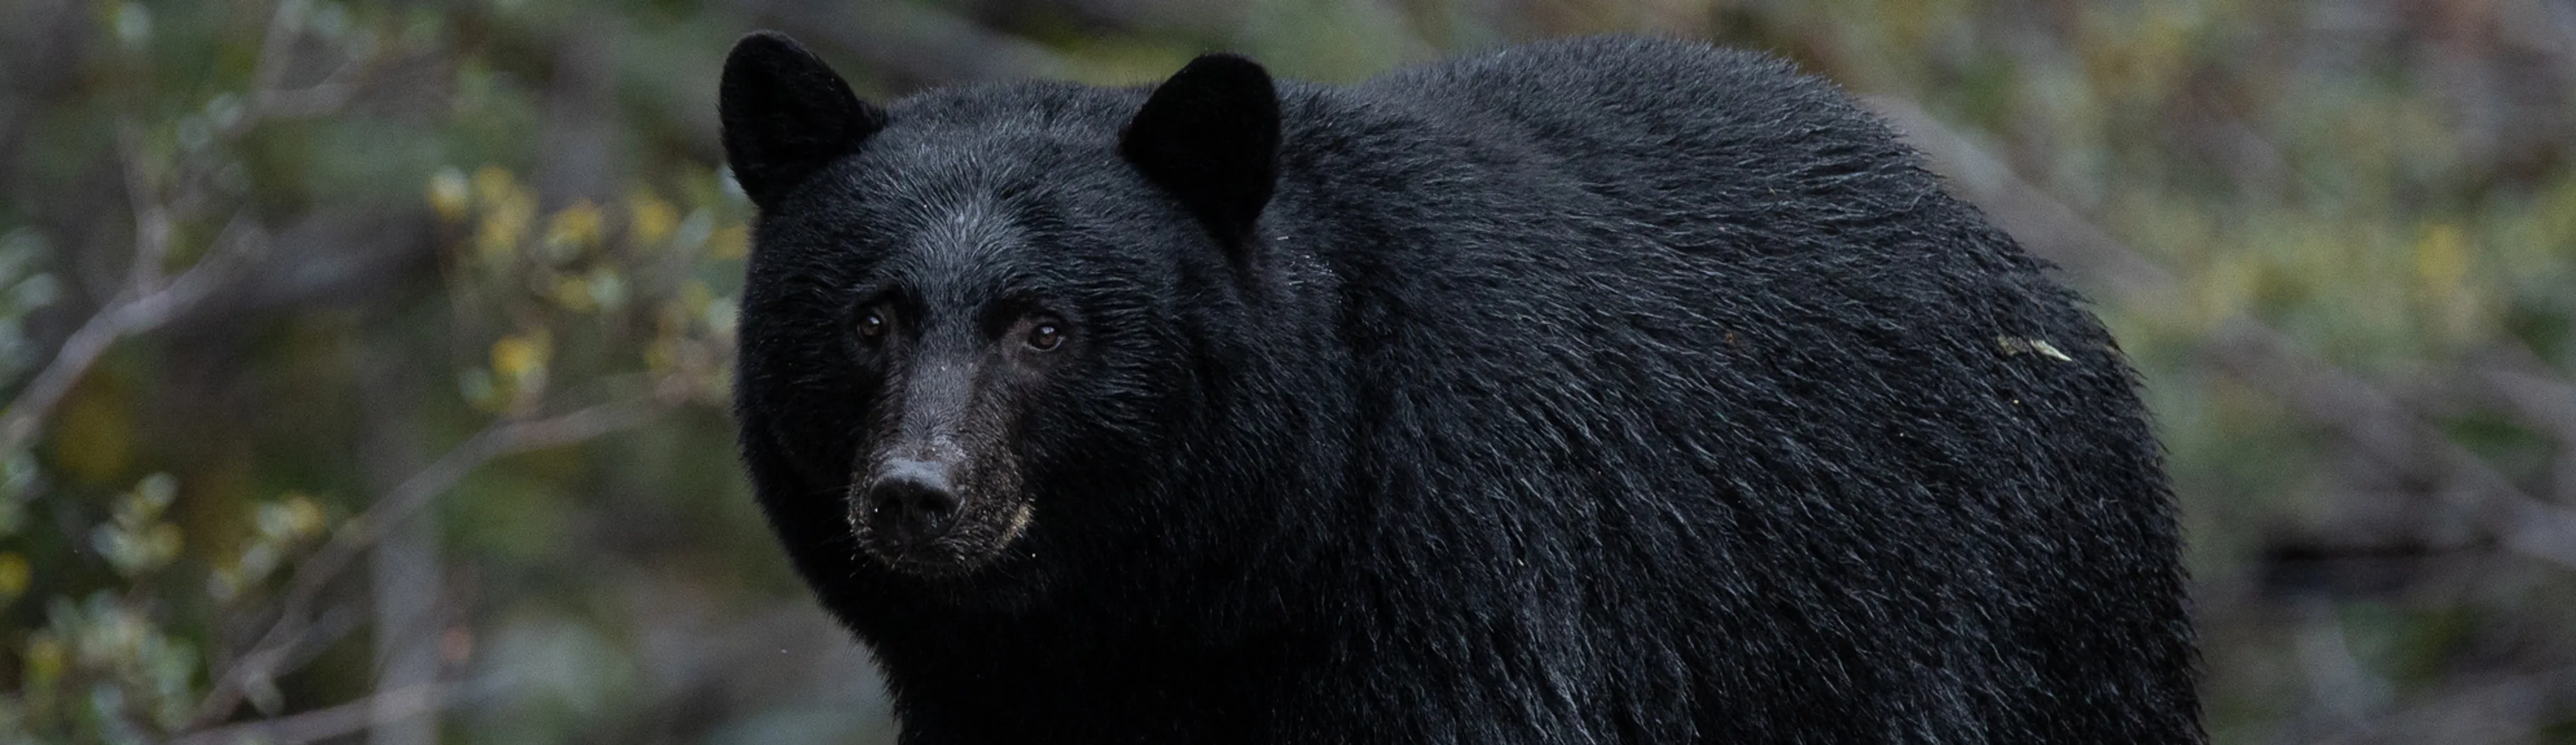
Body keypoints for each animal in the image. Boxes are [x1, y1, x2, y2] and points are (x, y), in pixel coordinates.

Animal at [722, 30, 2200, 745]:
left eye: (1045, 326)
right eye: (869, 316)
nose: (917, 492)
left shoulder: (1462, 569)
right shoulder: (1001, 693)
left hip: (1998, 619)